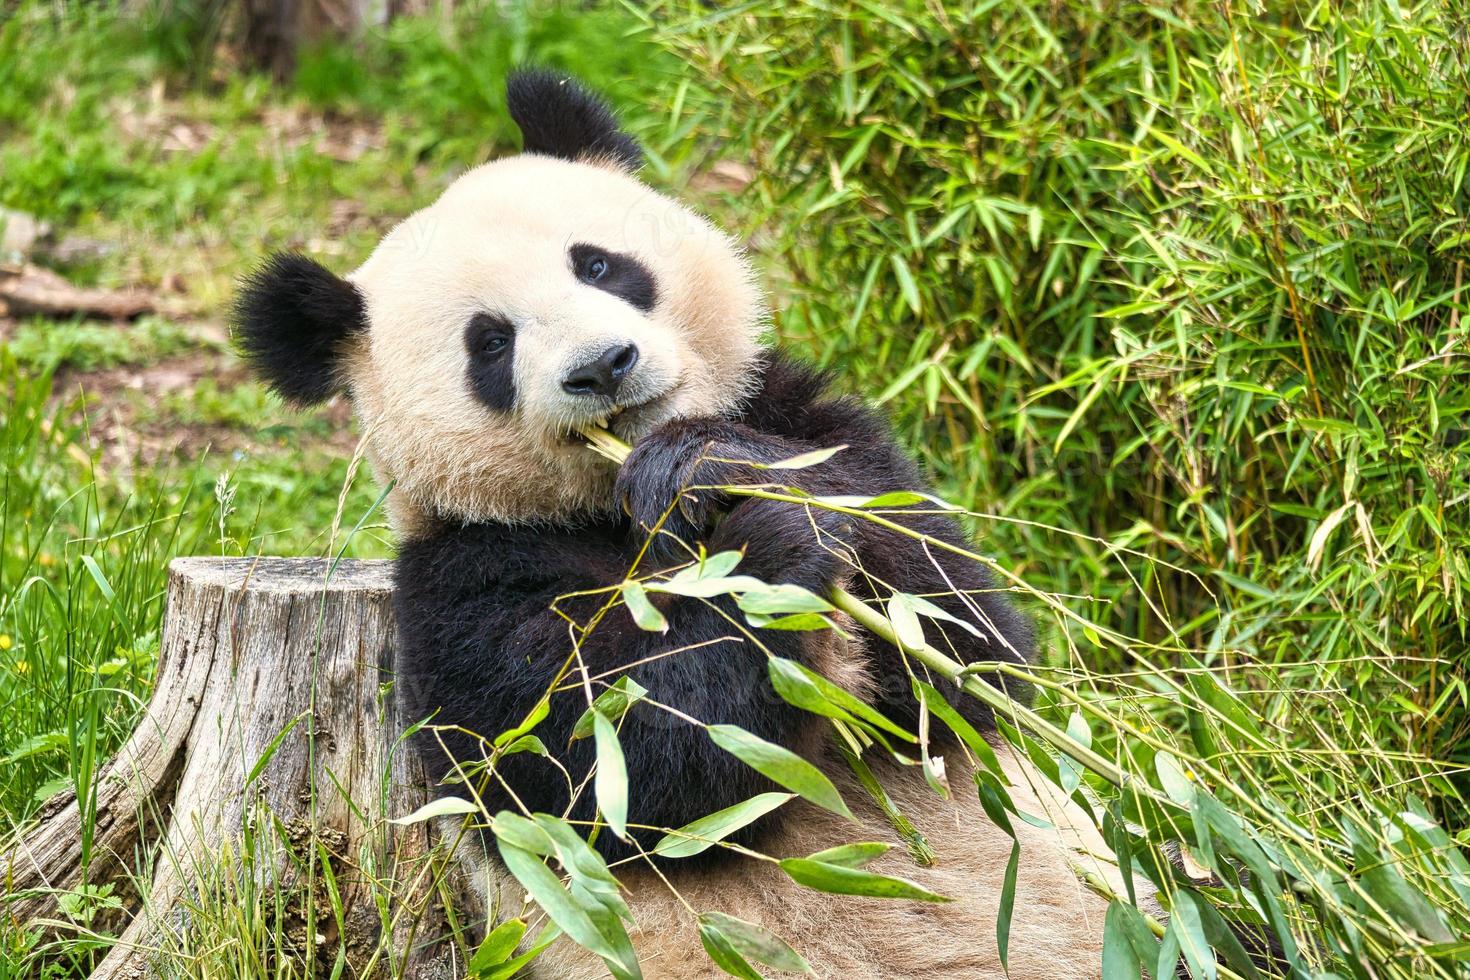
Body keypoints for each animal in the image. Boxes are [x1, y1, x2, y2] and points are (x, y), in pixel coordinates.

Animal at [238, 70, 1134, 980]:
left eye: (599, 265)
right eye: (489, 343)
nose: (603, 367)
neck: (615, 497)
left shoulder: (808, 421)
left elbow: (960, 650)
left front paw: (718, 471)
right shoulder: (461, 579)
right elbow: (614, 762)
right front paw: (764, 560)